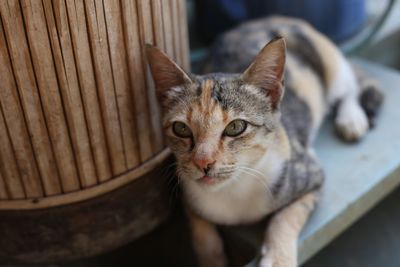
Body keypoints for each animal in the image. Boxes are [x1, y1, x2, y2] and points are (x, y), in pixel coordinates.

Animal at [145, 15, 382, 267]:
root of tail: (272, 17)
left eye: (236, 127)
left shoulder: (311, 173)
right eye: (181, 129)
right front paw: (212, 258)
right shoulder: (185, 187)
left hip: (331, 64)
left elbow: (286, 215)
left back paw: (351, 119)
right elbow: (198, 224)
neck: (232, 191)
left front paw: (279, 258)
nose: (203, 162)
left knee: (350, 87)